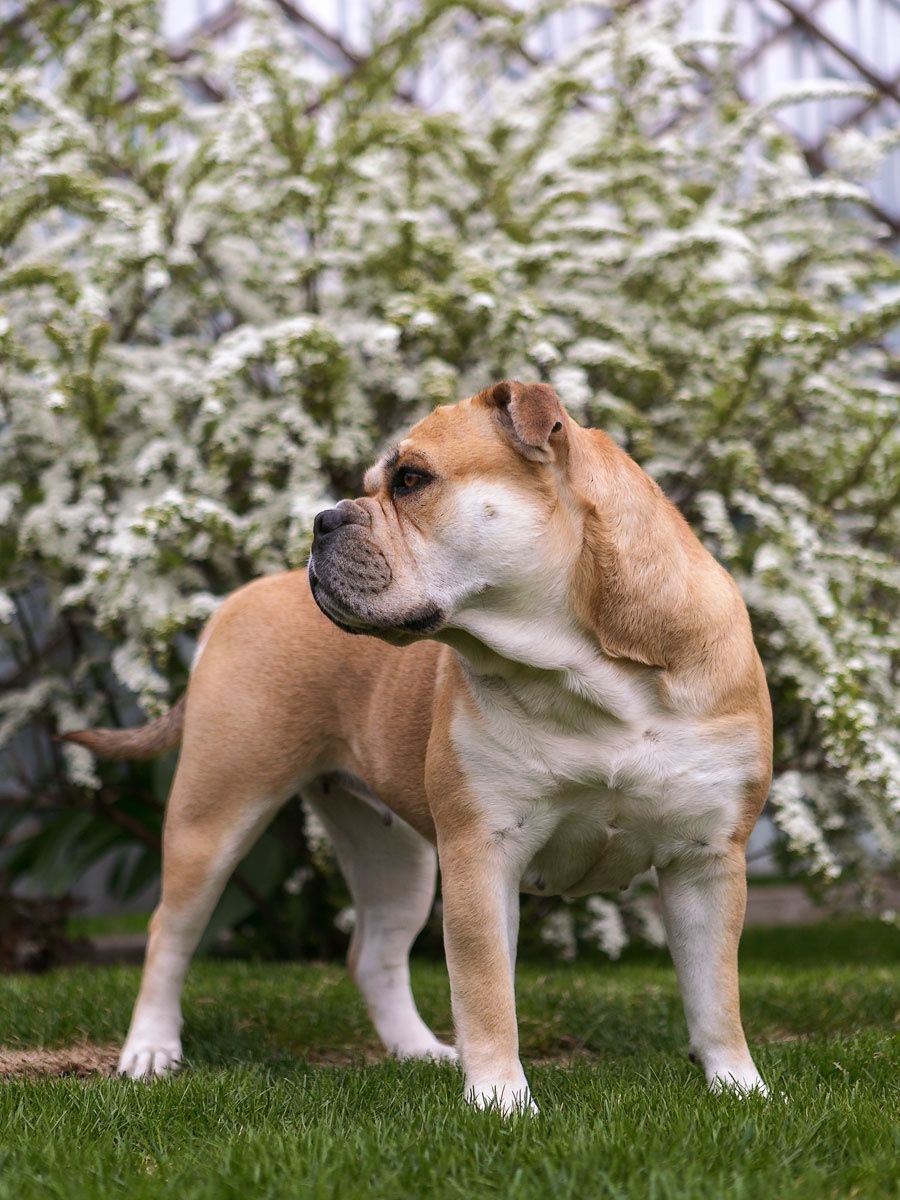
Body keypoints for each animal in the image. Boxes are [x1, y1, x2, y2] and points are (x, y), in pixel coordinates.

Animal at [68, 379, 777, 1108]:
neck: (591, 668)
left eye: (410, 480)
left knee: (374, 953)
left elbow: (715, 994)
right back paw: (151, 1051)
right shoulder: (482, 850)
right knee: (171, 932)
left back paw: (416, 1050)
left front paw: (740, 1089)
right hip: (214, 813)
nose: (323, 519)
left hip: (393, 856)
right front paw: (501, 1101)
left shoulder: (705, 859)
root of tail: (235, 604)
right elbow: (487, 991)